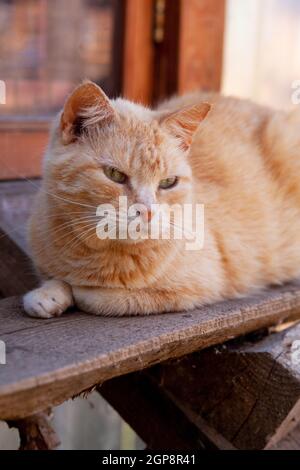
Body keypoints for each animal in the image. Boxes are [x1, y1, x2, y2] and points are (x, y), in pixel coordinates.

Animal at [24, 81, 300, 320]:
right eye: (115, 174)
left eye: (168, 182)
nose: (147, 211)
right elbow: (55, 278)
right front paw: (49, 293)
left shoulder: (199, 287)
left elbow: (108, 298)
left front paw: (77, 290)